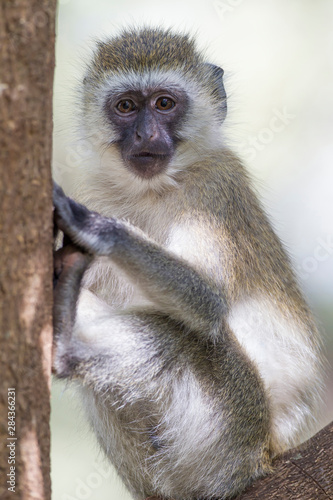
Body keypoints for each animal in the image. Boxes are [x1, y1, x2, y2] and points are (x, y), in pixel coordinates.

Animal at [52, 27, 324, 500]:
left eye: (164, 103)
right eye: (126, 107)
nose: (145, 136)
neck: (154, 190)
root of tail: (269, 452)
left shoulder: (216, 185)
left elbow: (207, 303)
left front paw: (98, 228)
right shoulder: (99, 187)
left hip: (237, 429)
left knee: (180, 338)